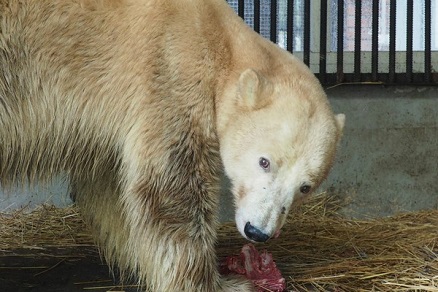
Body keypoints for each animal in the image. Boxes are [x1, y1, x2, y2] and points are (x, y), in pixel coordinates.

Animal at [0, 0, 346, 290]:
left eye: (305, 187)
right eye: (264, 161)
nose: (258, 232)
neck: (215, 32)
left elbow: (113, 187)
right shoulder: (169, 70)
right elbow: (171, 192)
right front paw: (226, 284)